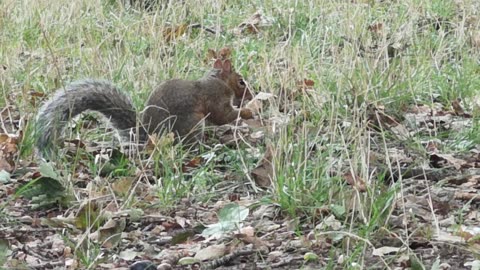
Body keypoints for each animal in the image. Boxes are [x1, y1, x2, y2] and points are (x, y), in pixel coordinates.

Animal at [36, 58, 255, 157]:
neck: (219, 81)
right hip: (191, 124)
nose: (251, 95)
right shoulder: (215, 96)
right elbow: (222, 115)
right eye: (241, 81)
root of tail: (148, 136)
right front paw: (247, 111)